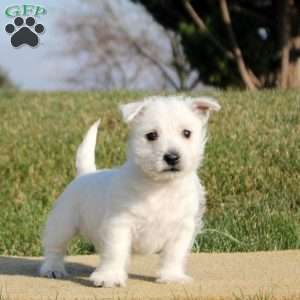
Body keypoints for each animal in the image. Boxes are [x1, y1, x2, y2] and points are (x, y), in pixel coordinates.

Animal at [39, 95, 220, 286]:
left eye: (187, 133)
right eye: (152, 135)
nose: (172, 157)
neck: (160, 186)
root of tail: (85, 173)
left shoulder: (182, 229)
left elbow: (174, 255)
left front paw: (172, 276)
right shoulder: (120, 224)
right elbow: (116, 251)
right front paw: (109, 277)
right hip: (62, 223)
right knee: (55, 248)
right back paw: (53, 269)